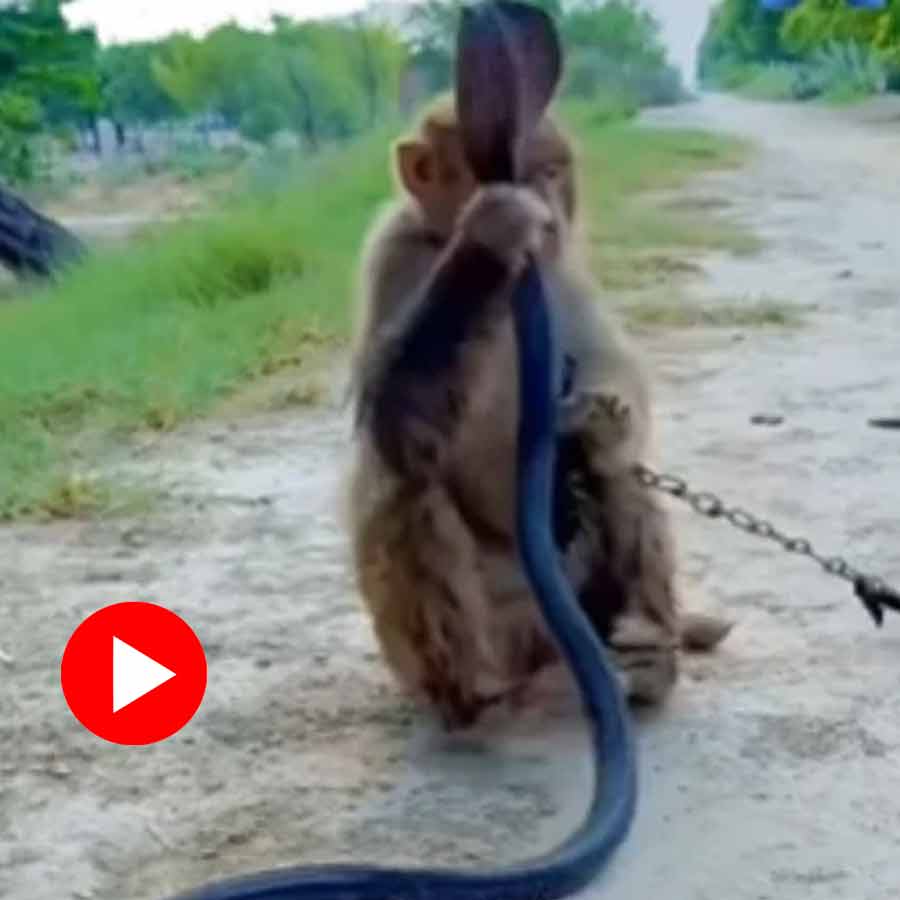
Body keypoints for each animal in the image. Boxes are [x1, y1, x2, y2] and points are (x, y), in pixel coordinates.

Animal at [344, 94, 733, 730]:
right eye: (506, 171)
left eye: (550, 171)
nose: (545, 207)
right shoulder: (393, 250)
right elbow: (396, 429)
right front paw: (488, 238)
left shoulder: (560, 263)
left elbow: (611, 376)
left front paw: (601, 424)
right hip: (505, 626)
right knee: (405, 486)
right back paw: (473, 692)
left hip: (579, 591)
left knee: (619, 476)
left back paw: (646, 649)